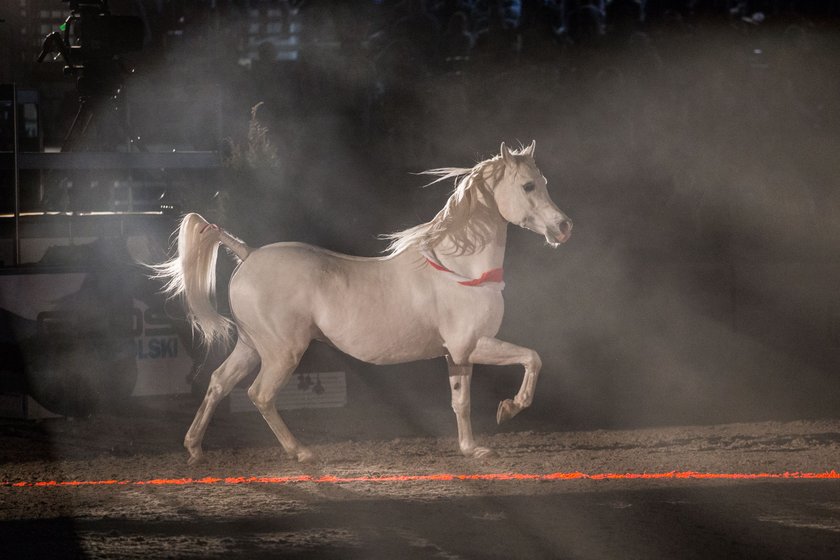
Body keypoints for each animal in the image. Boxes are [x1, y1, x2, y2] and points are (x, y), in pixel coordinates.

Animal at [154, 141, 572, 464]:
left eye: (545, 183)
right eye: (528, 185)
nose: (563, 227)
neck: (458, 268)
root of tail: (248, 253)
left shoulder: (458, 354)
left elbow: (461, 402)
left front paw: (472, 449)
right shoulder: (471, 344)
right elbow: (532, 358)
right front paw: (510, 408)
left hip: (251, 345)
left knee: (218, 383)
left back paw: (194, 449)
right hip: (282, 352)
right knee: (260, 395)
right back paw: (301, 452)